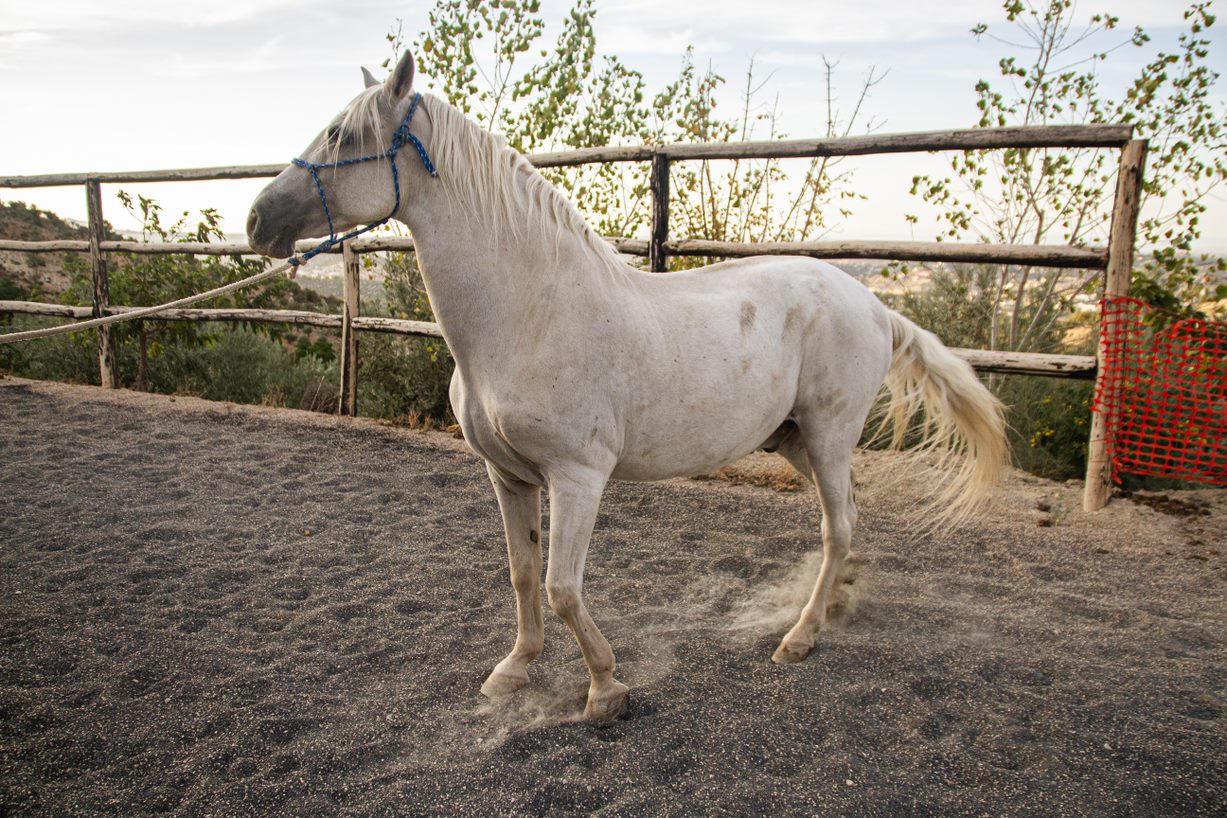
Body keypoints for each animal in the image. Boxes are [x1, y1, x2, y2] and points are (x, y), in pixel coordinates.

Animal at [249, 51, 1006, 721]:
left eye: (343, 135)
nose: (259, 220)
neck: (526, 313)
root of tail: (874, 305)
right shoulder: (508, 477)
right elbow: (523, 577)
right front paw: (511, 673)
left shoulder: (577, 477)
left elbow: (562, 588)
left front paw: (605, 689)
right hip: (792, 440)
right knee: (847, 519)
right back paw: (833, 609)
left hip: (828, 435)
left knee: (836, 526)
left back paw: (799, 637)